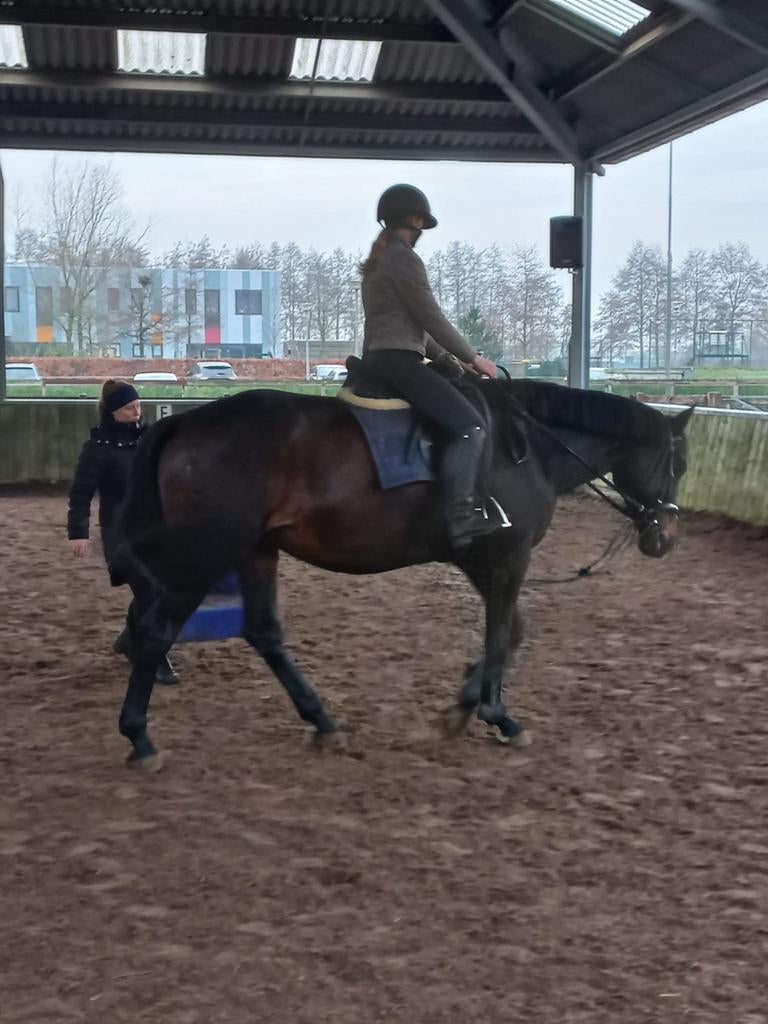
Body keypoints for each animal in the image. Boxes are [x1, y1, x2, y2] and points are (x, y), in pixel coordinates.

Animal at [112, 376, 693, 767]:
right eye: (678, 464)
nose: (665, 536)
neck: (526, 449)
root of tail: (184, 421)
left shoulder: (482, 558)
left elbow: (510, 632)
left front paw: (464, 703)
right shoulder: (508, 556)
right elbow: (502, 633)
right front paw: (497, 715)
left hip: (254, 550)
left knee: (263, 632)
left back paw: (321, 721)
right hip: (206, 554)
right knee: (156, 630)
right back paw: (139, 738)